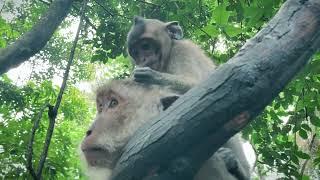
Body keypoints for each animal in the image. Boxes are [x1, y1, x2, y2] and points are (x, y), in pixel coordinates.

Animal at [127, 16, 252, 179]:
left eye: (146, 46)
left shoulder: (183, 51)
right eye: (136, 52)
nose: (142, 59)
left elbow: (200, 86)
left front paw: (149, 75)